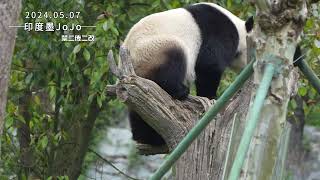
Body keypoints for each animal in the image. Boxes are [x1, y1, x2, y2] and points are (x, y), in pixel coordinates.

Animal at [122, 2, 255, 146]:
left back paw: (147, 138)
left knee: (141, 108)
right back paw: (180, 91)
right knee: (173, 59)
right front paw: (210, 97)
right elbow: (209, 64)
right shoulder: (220, 32)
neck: (239, 28)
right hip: (153, 50)